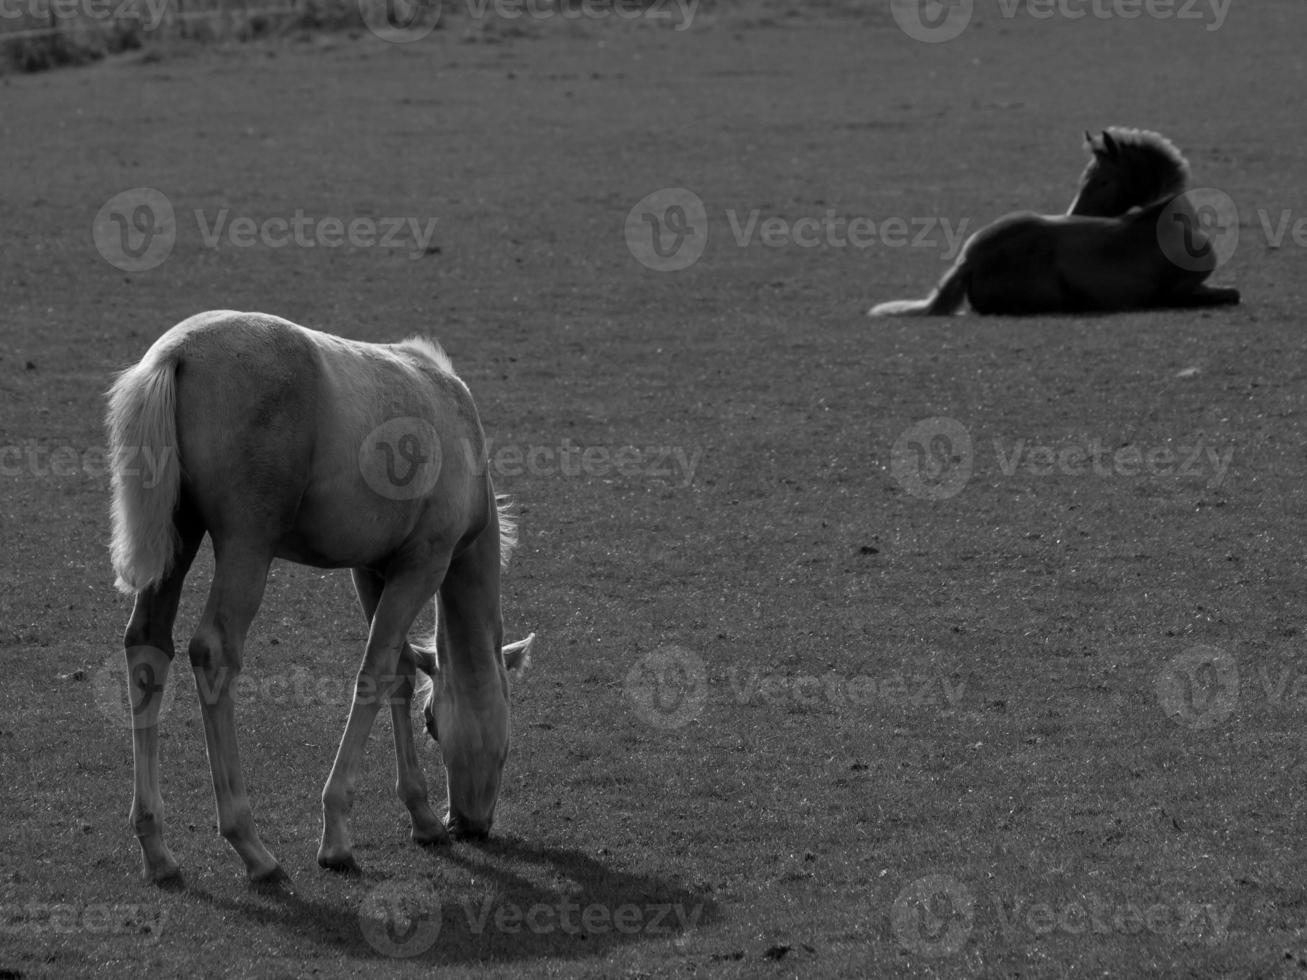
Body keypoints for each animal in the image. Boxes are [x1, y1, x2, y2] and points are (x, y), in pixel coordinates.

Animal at [103, 310, 530, 888]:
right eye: (434, 724)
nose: (469, 824)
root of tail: (178, 353)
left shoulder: (372, 569)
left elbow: (399, 671)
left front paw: (420, 816)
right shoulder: (423, 563)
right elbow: (375, 671)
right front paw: (337, 836)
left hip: (179, 535)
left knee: (148, 646)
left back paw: (156, 848)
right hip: (247, 543)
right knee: (213, 649)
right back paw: (251, 847)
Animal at [873, 128, 1239, 316]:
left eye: (1102, 180)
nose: (1073, 212)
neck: (1162, 221)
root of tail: (968, 261)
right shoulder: (1177, 291)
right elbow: (1232, 293)